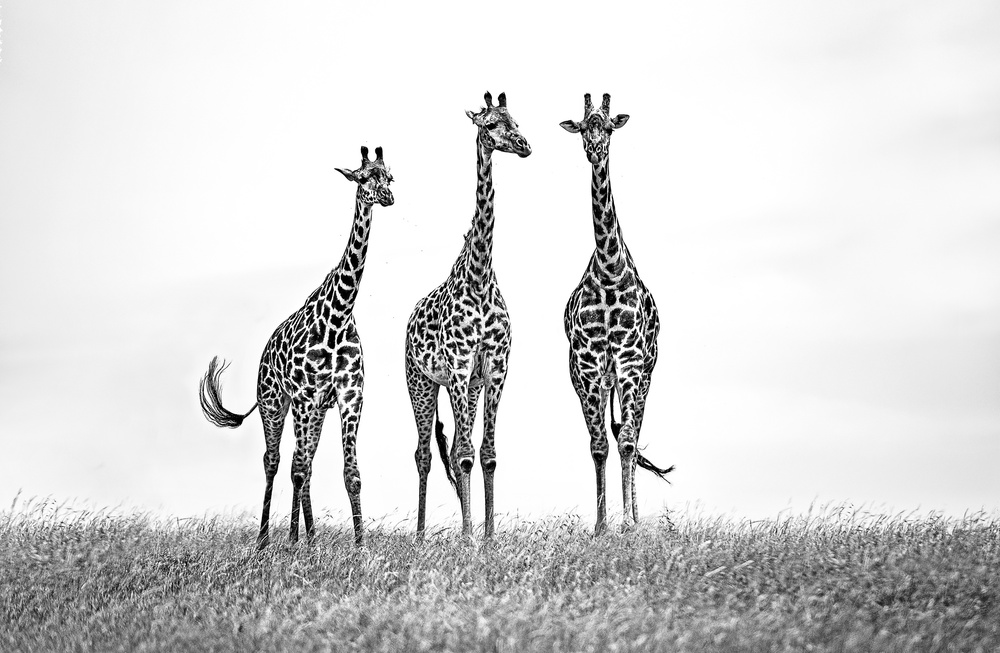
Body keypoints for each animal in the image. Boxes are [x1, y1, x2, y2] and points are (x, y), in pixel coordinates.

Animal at [199, 146, 394, 544]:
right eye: (364, 177)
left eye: (390, 176)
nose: (388, 197)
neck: (340, 313)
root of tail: (263, 354)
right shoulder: (304, 396)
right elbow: (297, 468)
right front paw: (291, 543)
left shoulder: (349, 396)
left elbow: (351, 474)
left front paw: (360, 546)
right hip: (275, 404)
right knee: (275, 462)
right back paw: (266, 540)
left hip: (314, 410)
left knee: (303, 463)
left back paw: (310, 537)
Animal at [406, 91, 532, 540]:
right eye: (490, 125)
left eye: (516, 120)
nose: (525, 145)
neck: (479, 278)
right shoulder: (459, 367)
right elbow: (461, 453)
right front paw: (467, 536)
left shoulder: (493, 368)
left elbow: (487, 453)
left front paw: (489, 534)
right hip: (421, 383)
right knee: (424, 453)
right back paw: (422, 533)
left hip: (466, 387)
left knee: (457, 445)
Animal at [560, 95, 676, 536]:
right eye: (583, 127)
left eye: (608, 126)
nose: (595, 149)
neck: (610, 269)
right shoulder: (589, 364)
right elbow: (599, 445)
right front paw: (600, 525)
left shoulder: (629, 360)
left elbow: (626, 441)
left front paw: (627, 523)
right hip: (596, 379)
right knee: (612, 436)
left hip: (645, 374)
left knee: (633, 433)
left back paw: (637, 517)